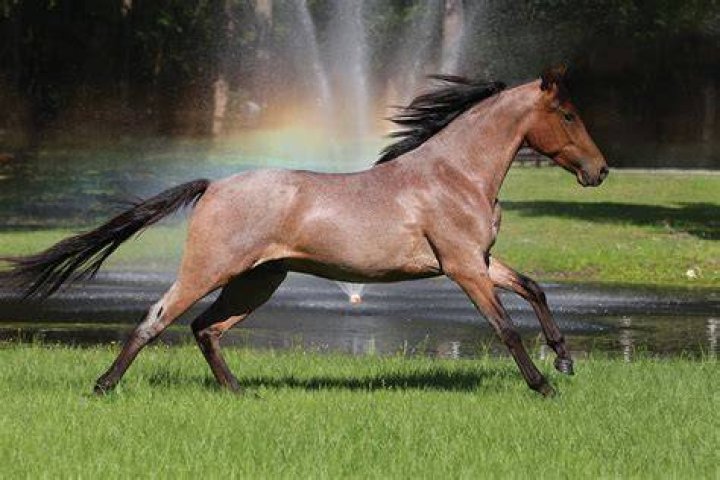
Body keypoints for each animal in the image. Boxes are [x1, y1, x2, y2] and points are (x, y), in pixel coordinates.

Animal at [1, 66, 608, 396]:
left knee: (205, 328)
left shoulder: (479, 261)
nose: (599, 171)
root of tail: (213, 185)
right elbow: (505, 327)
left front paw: (565, 358)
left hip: (258, 280)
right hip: (210, 269)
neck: (454, 173)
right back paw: (104, 386)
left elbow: (534, 288)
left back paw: (239, 393)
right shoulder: (461, 267)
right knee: (159, 318)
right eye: (569, 115)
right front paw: (544, 385)